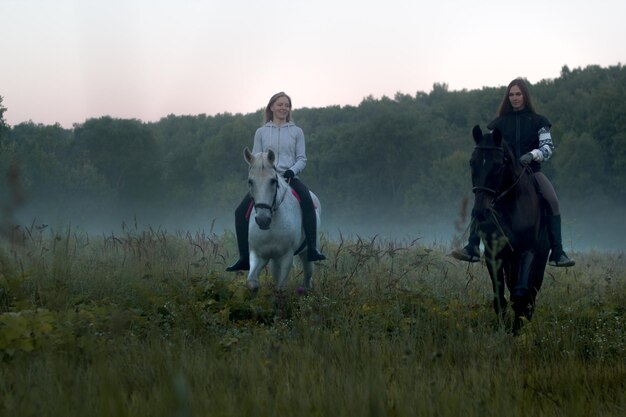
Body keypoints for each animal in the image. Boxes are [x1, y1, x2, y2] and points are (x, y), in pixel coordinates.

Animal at [244, 147, 322, 292]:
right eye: (250, 181)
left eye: (273, 181)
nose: (263, 220)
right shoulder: (259, 254)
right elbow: (252, 282)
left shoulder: (286, 256)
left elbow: (280, 288)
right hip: (275, 260)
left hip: (306, 254)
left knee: (308, 277)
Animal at [468, 125, 544, 334]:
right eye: (472, 163)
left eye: (497, 165)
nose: (481, 211)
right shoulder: (494, 255)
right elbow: (500, 298)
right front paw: (505, 329)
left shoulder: (527, 252)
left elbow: (520, 297)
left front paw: (517, 330)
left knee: (531, 293)